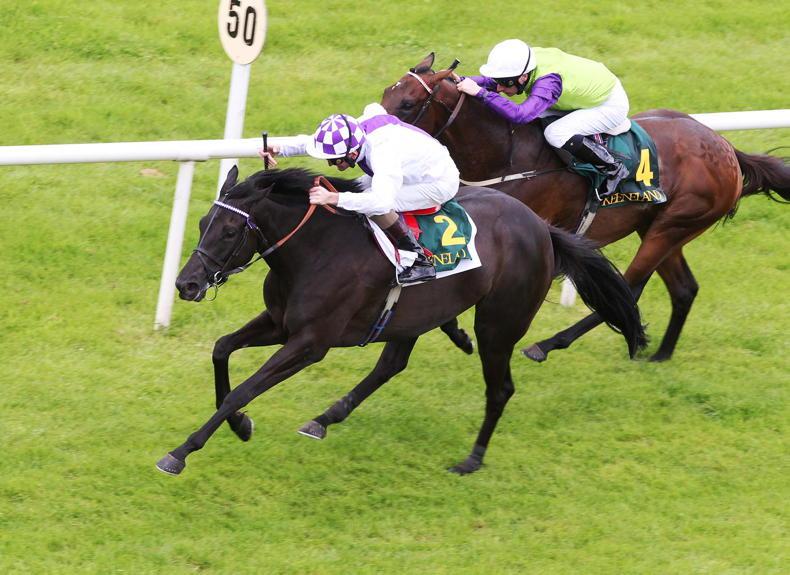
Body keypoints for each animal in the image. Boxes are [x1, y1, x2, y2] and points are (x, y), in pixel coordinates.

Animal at [156, 166, 647, 476]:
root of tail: (543, 229)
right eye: (201, 222)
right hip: (415, 315)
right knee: (391, 364)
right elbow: (221, 349)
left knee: (500, 388)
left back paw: (471, 460)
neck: (316, 250)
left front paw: (181, 451)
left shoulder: (311, 342)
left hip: (498, 322)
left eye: (228, 231)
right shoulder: (280, 323)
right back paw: (325, 418)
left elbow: (244, 389)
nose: (186, 283)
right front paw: (240, 425)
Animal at [380, 53, 790, 363]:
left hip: (672, 226)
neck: (507, 155)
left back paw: (548, 345)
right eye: (387, 93)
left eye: (408, 103)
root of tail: (727, 149)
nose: (371, 134)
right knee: (684, 288)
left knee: (630, 286)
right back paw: (660, 355)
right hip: (659, 225)